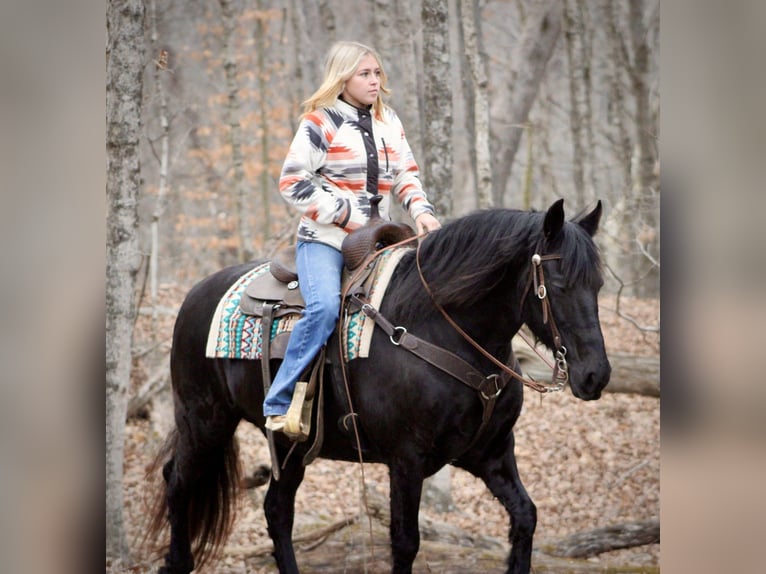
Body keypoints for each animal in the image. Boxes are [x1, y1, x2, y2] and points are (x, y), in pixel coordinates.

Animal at [146, 198, 611, 574]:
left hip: (288, 443)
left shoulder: (490, 455)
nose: (596, 375)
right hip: (204, 421)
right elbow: (405, 542)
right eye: (560, 284)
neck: (440, 328)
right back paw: (176, 562)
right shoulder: (406, 460)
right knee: (178, 481)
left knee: (276, 510)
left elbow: (526, 517)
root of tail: (196, 294)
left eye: (599, 284)